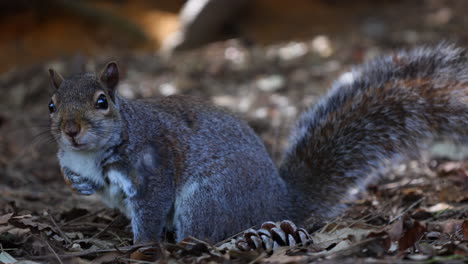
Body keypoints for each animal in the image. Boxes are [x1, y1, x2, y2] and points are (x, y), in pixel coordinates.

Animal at [48, 44, 468, 244]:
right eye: (51, 105)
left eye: (102, 102)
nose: (71, 130)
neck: (89, 154)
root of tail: (282, 203)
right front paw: (78, 184)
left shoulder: (155, 165)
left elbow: (150, 208)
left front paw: (141, 245)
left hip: (211, 196)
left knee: (206, 233)